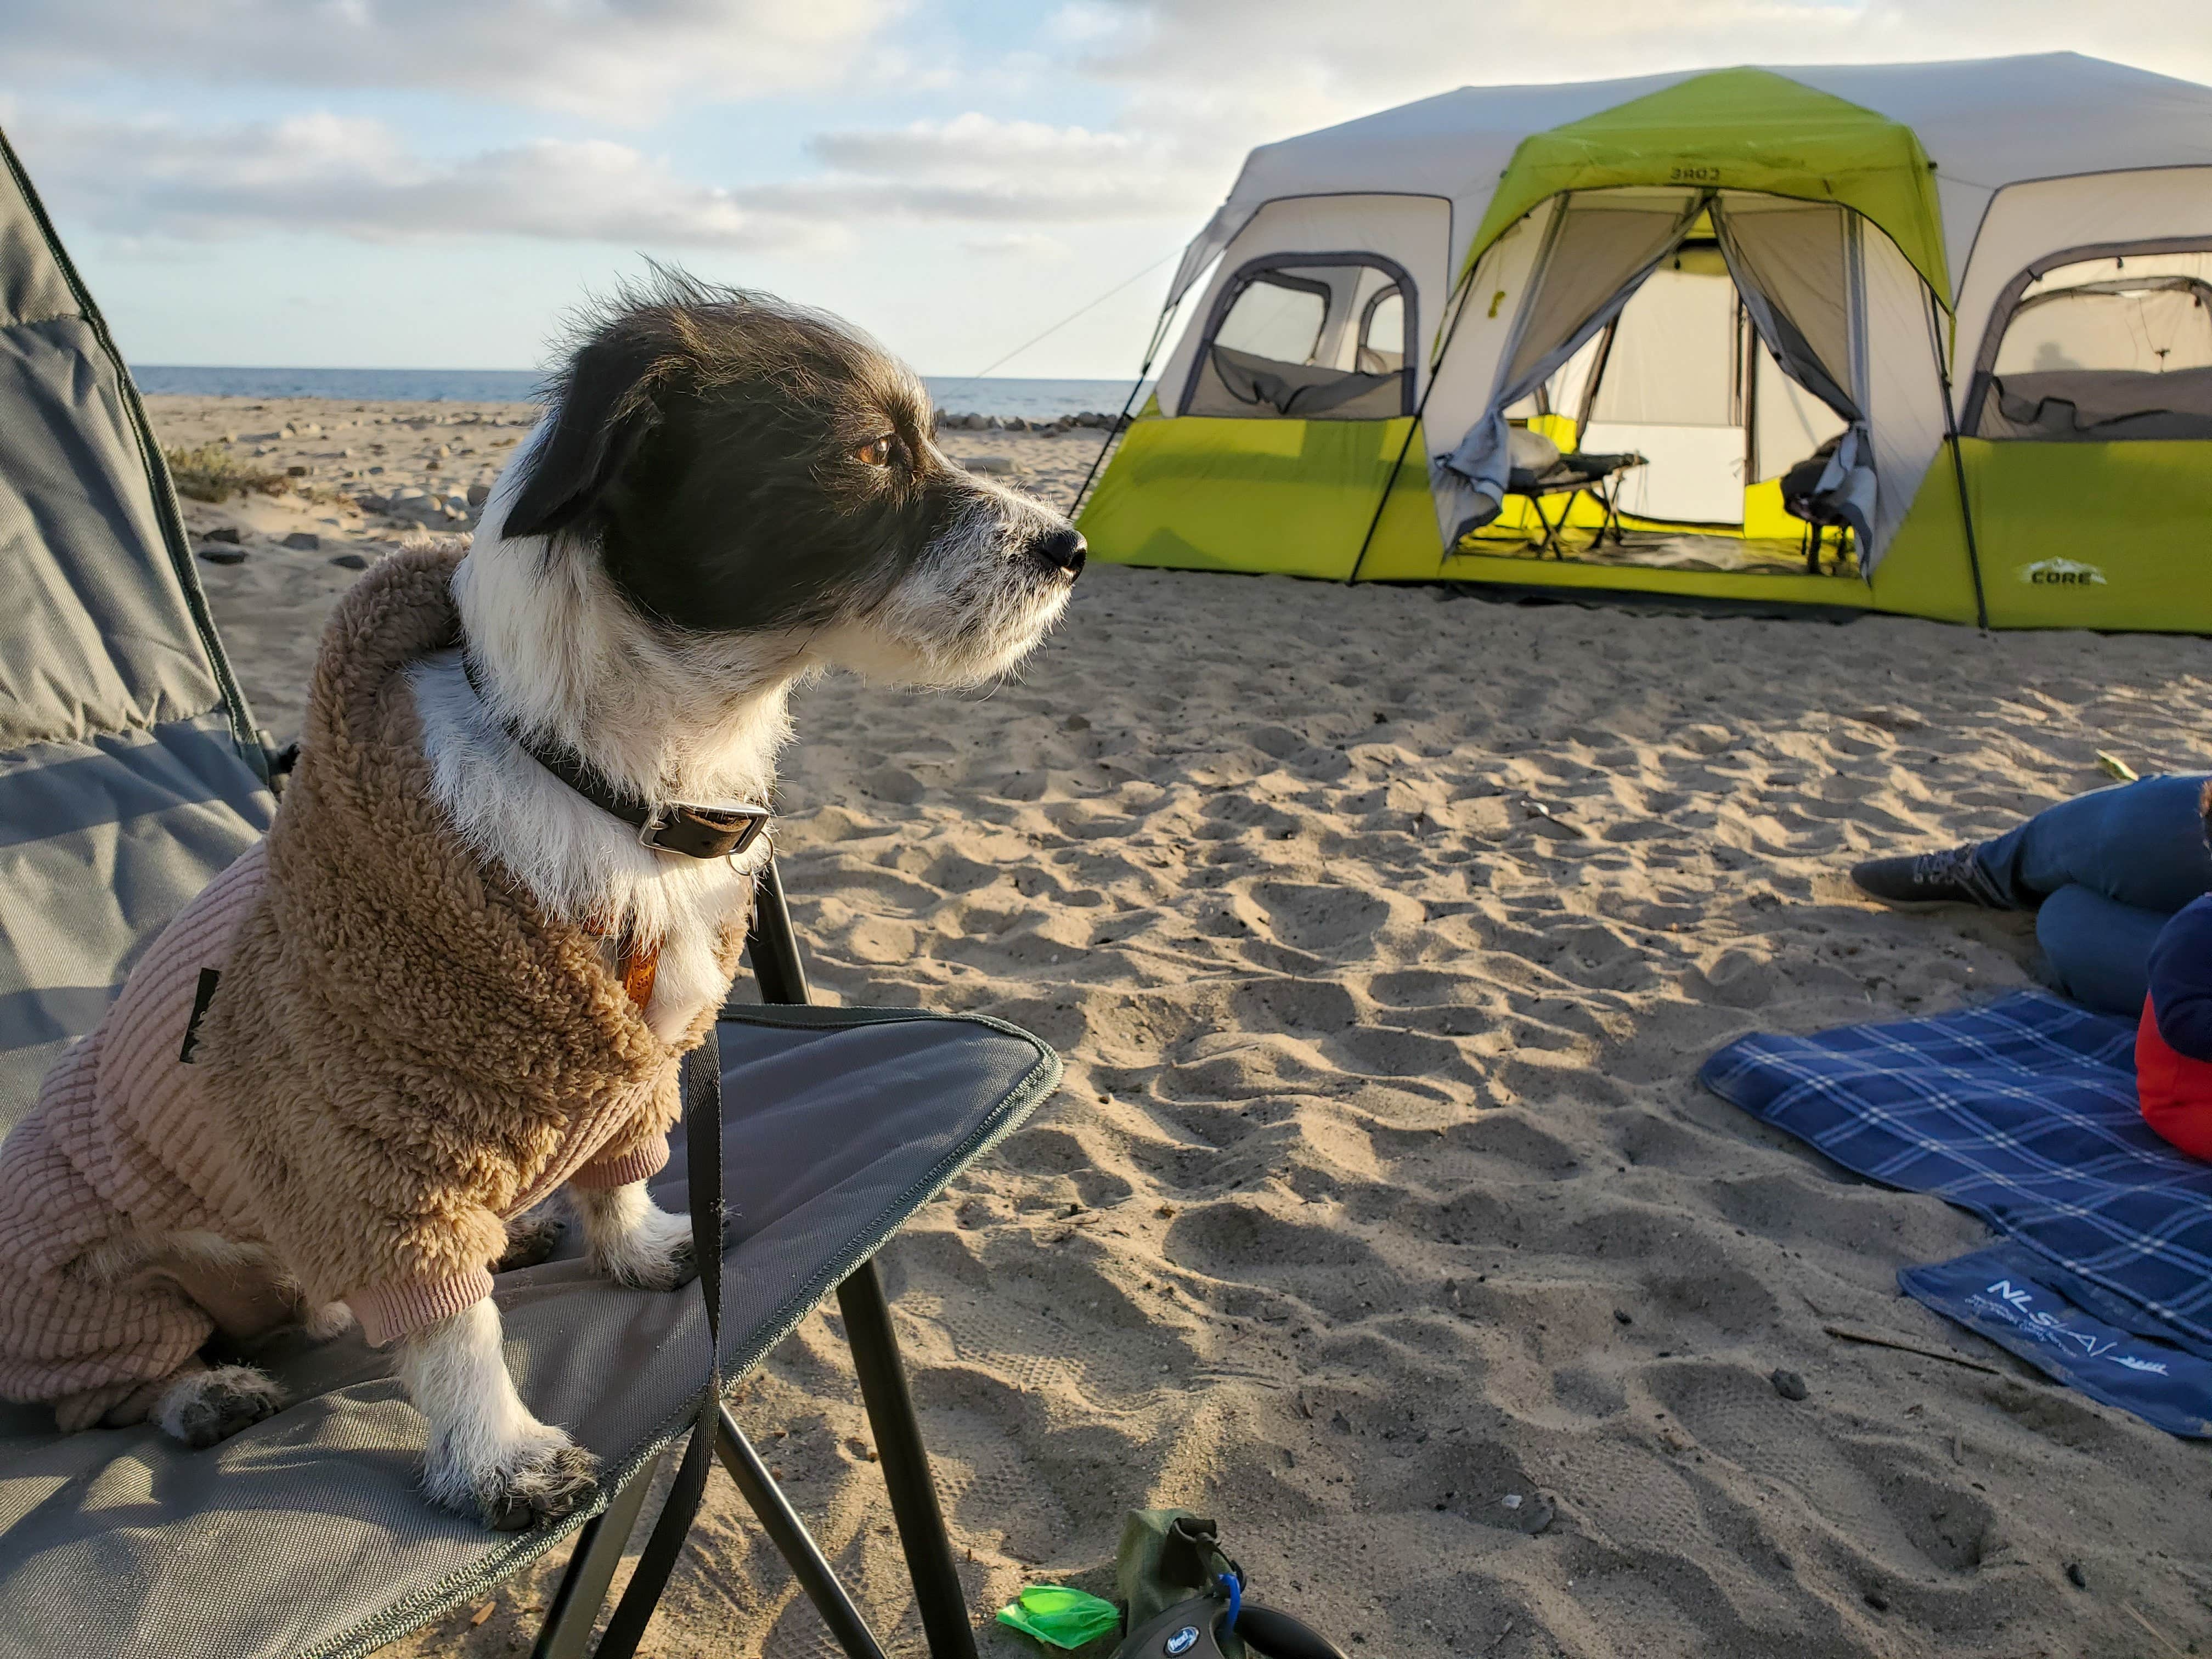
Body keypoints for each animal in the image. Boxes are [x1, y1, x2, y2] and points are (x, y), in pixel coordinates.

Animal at [0, 276, 1079, 1531]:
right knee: (117, 1386)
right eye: (873, 452)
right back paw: (202, 1391)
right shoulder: (377, 1148)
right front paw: (498, 1454)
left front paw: (642, 1244)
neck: (617, 793)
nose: (1071, 547)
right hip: (100, 1280)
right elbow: (453, 1328)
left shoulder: (628, 1073)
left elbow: (621, 1178)